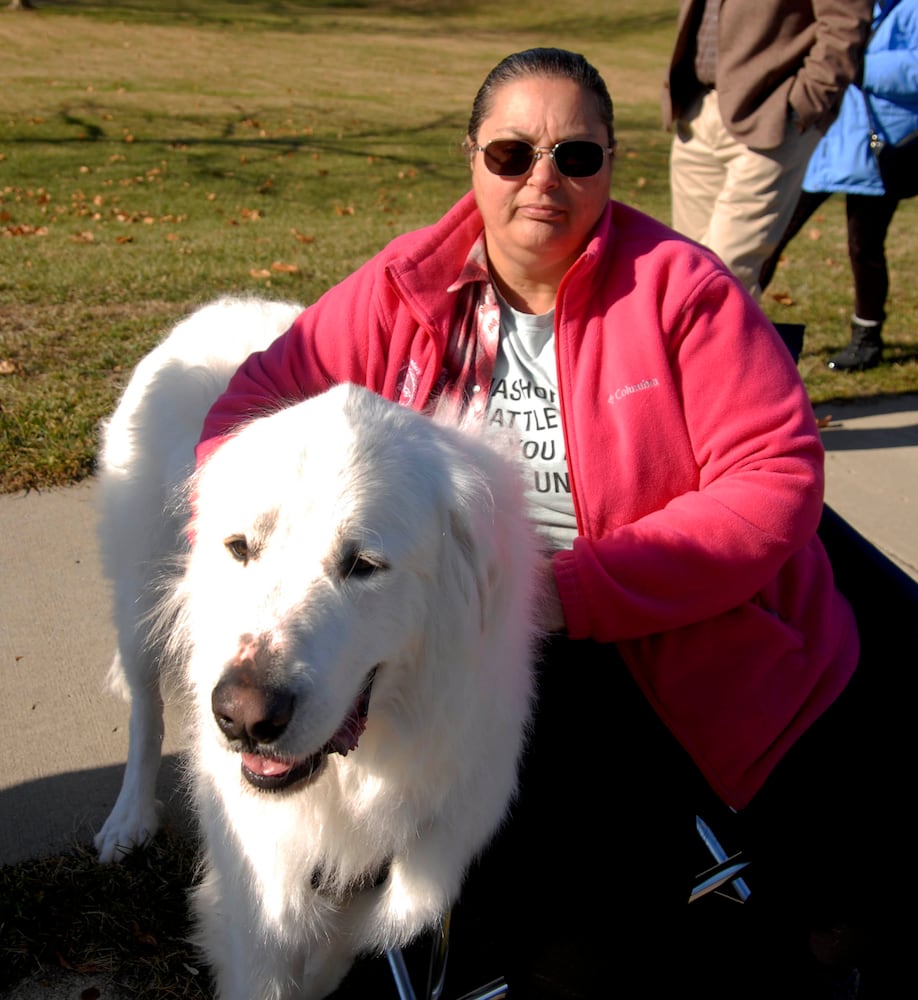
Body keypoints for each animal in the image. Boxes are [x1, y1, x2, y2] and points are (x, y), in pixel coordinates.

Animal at [93, 296, 540, 1000]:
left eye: (364, 565)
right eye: (240, 547)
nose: (243, 718)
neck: (350, 784)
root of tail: (227, 302)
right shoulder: (254, 893)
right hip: (137, 595)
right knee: (145, 711)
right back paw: (128, 818)